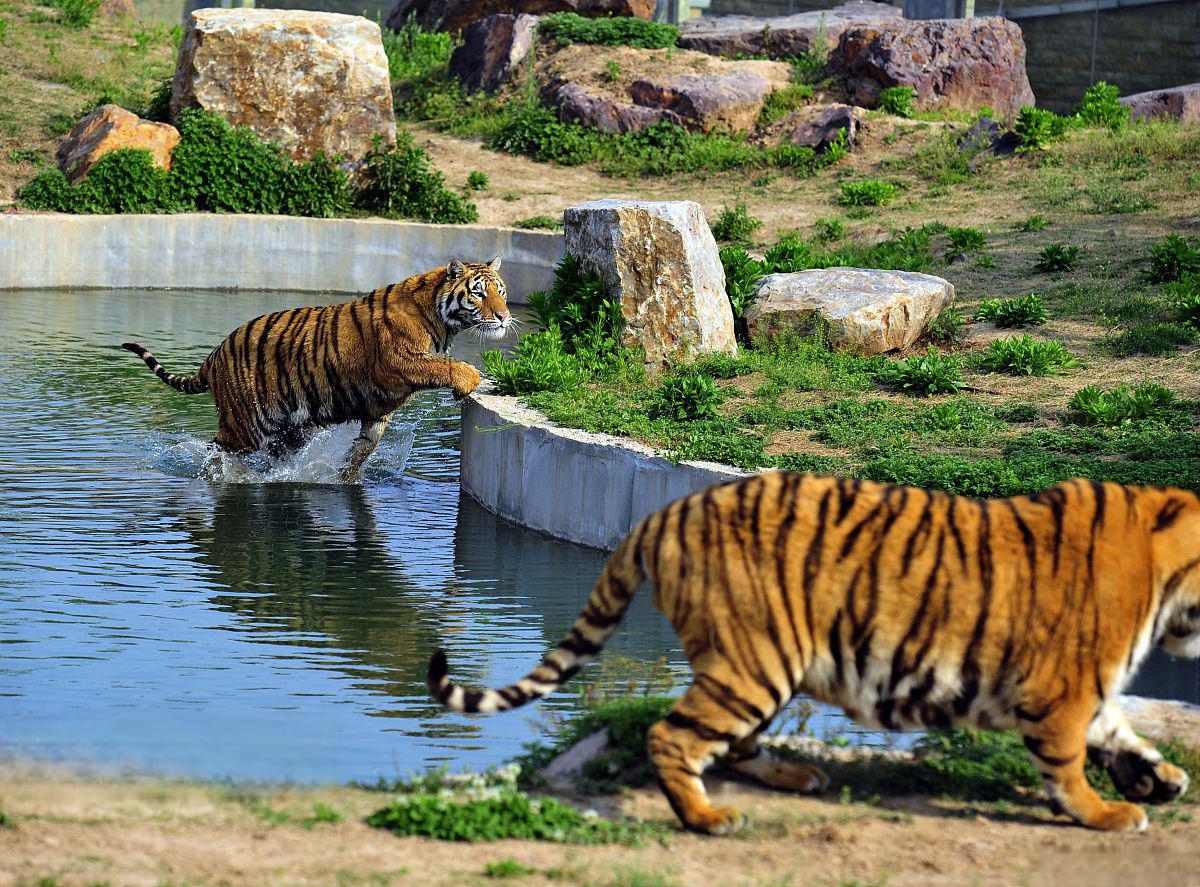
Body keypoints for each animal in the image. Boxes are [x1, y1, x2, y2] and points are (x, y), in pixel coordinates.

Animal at [124, 254, 508, 477]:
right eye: (478, 293)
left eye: (501, 291)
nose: (505, 316)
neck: (443, 322)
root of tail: (215, 354)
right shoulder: (397, 362)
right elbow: (445, 366)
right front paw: (470, 379)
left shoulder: (378, 409)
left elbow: (364, 447)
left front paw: (346, 476)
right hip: (244, 424)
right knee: (216, 451)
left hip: (289, 429)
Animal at [432, 475, 1200, 835]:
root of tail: (663, 512)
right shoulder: (1064, 686)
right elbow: (1068, 762)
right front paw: (1106, 813)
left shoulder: (1088, 690)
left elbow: (1120, 732)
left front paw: (1160, 779)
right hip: (756, 660)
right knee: (673, 735)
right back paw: (707, 819)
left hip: (765, 663)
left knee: (730, 742)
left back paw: (795, 776)